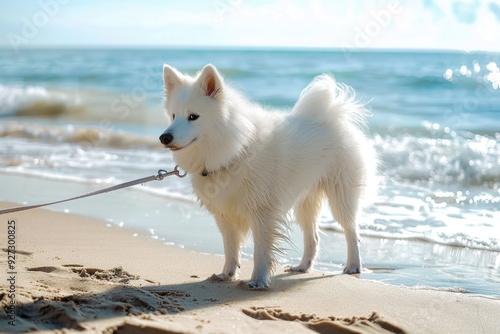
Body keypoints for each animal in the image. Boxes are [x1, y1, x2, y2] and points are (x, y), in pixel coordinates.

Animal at [159, 64, 376, 288]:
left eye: (193, 116)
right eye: (173, 116)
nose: (164, 137)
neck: (235, 150)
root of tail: (333, 114)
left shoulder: (262, 212)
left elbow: (260, 251)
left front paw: (258, 280)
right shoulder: (225, 213)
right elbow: (230, 247)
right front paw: (227, 274)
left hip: (341, 195)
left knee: (351, 230)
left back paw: (353, 265)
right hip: (306, 201)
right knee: (313, 236)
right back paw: (303, 267)